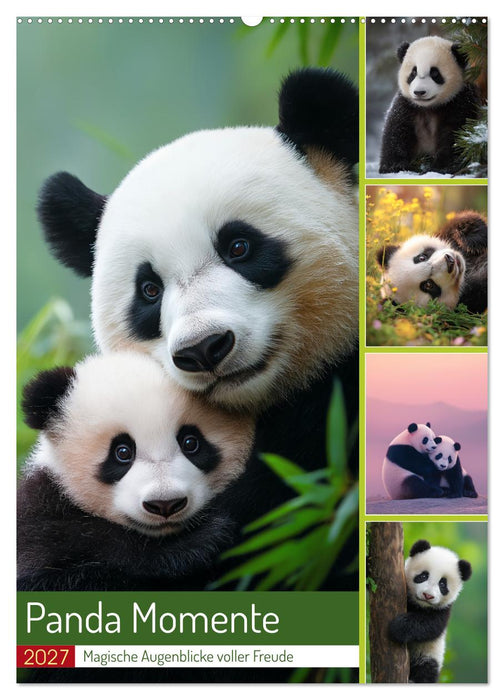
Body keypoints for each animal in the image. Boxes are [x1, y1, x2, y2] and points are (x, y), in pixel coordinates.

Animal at [379, 36, 481, 174]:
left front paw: (441, 167)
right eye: (413, 73)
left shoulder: (460, 100)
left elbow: (457, 134)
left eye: (435, 73)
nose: (419, 92)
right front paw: (394, 166)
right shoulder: (406, 104)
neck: (428, 107)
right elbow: (396, 131)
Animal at [389, 539, 472, 683]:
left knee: (425, 671)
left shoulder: (444, 610)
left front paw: (397, 627)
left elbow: (430, 625)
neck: (419, 605)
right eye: (423, 576)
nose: (428, 595)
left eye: (442, 584)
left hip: (428, 655)